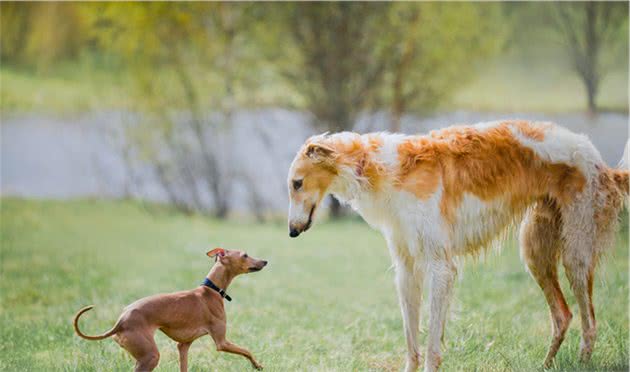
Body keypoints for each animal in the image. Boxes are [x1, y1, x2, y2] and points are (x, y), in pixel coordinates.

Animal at [73, 248, 268, 370]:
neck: (211, 290)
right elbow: (247, 351)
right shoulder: (222, 342)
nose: (265, 261)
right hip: (150, 356)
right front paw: (258, 365)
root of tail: (120, 321)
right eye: (245, 255)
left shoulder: (183, 345)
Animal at [288, 120, 628, 370]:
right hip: (536, 251)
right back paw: (545, 364)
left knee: (589, 323)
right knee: (562, 315)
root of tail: (603, 164)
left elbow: (430, 346)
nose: (292, 231)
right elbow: (412, 344)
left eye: (296, 183)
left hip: (576, 254)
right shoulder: (406, 269)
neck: (384, 169)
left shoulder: (441, 267)